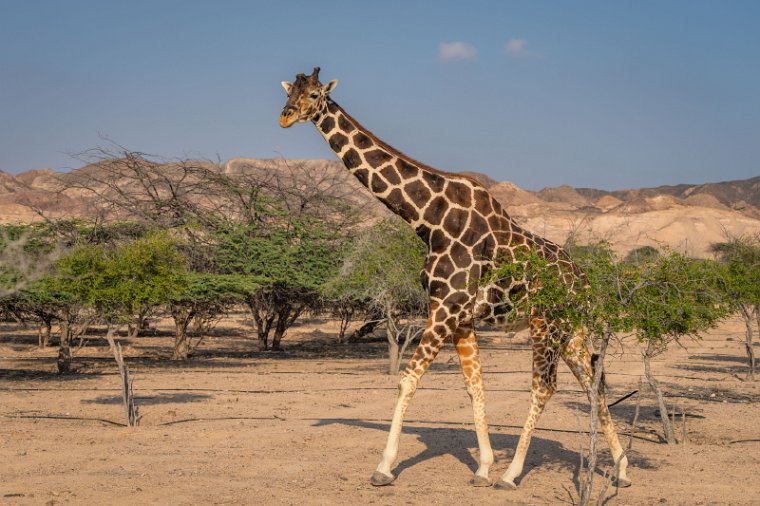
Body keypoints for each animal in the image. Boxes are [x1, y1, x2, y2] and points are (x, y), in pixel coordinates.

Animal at [278, 68, 628, 490]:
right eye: (290, 91)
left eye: (314, 94)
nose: (285, 116)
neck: (429, 220)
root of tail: (586, 282)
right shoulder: (460, 316)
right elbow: (474, 386)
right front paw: (482, 467)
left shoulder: (445, 308)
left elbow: (407, 379)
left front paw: (384, 467)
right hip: (572, 329)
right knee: (593, 383)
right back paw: (622, 469)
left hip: (546, 324)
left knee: (546, 386)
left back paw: (513, 474)